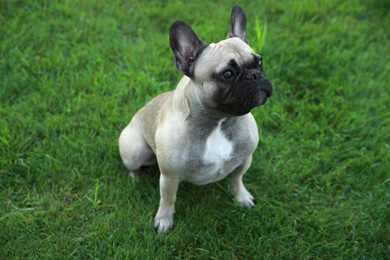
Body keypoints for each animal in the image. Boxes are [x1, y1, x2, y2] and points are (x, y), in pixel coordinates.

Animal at [117, 4, 272, 233]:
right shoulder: (169, 177)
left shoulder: (245, 159)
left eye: (259, 62)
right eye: (227, 74)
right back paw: (136, 177)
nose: (255, 75)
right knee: (134, 166)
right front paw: (164, 220)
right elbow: (168, 199)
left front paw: (241, 197)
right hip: (135, 149)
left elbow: (237, 179)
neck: (220, 121)